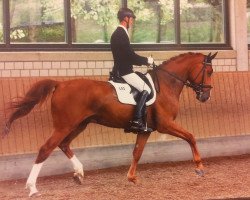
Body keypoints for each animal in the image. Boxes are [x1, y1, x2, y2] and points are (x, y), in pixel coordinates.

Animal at [1, 52, 217, 197]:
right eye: (209, 71)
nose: (205, 96)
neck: (165, 84)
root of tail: (60, 84)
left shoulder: (146, 130)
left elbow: (137, 152)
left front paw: (132, 177)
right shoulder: (166, 124)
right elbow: (190, 136)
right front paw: (199, 166)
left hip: (79, 125)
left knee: (63, 144)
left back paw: (79, 173)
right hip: (64, 126)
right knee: (46, 149)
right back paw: (32, 188)